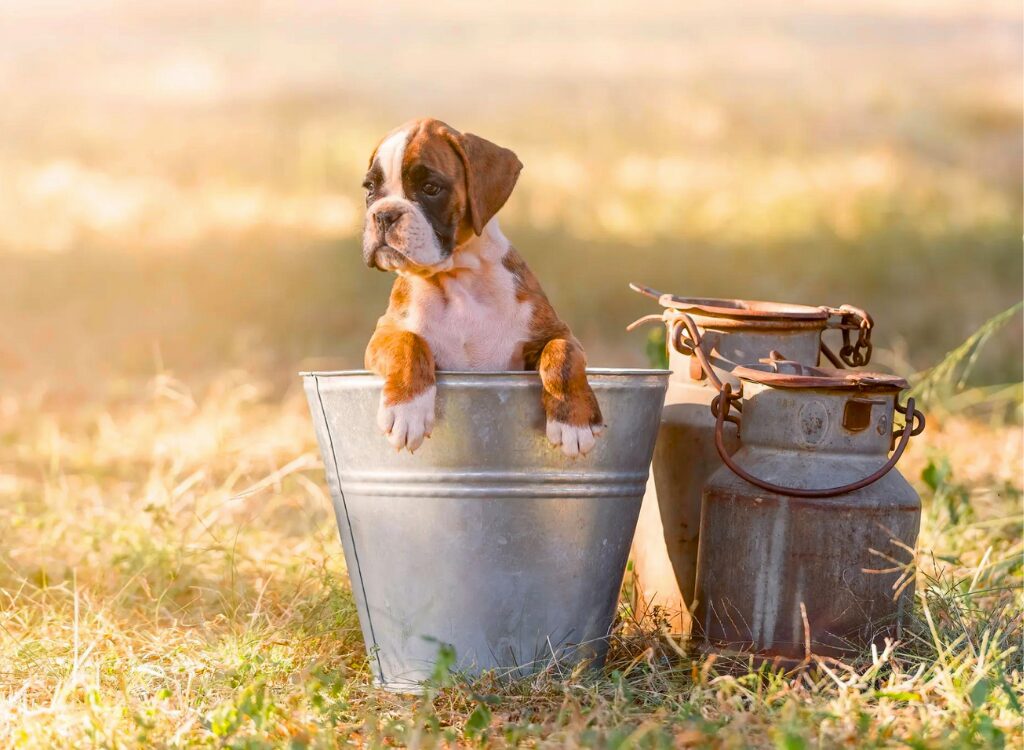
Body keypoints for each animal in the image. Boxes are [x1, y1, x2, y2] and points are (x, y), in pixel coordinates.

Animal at [360, 117, 602, 456]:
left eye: (430, 188)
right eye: (370, 189)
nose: (383, 214)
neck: (457, 278)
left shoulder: (558, 333)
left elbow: (562, 355)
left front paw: (573, 422)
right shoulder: (383, 334)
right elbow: (408, 342)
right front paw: (407, 410)